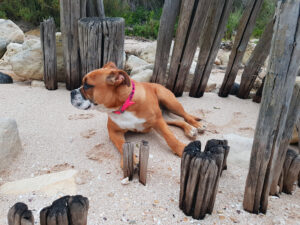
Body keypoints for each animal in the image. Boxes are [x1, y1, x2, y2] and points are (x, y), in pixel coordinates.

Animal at [70, 62, 203, 163]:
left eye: (87, 85)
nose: (71, 92)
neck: (124, 105)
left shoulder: (158, 121)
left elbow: (170, 137)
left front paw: (181, 149)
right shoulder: (114, 132)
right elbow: (121, 145)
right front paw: (130, 160)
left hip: (169, 101)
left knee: (185, 115)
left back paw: (196, 125)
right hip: (164, 116)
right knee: (176, 121)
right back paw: (190, 129)